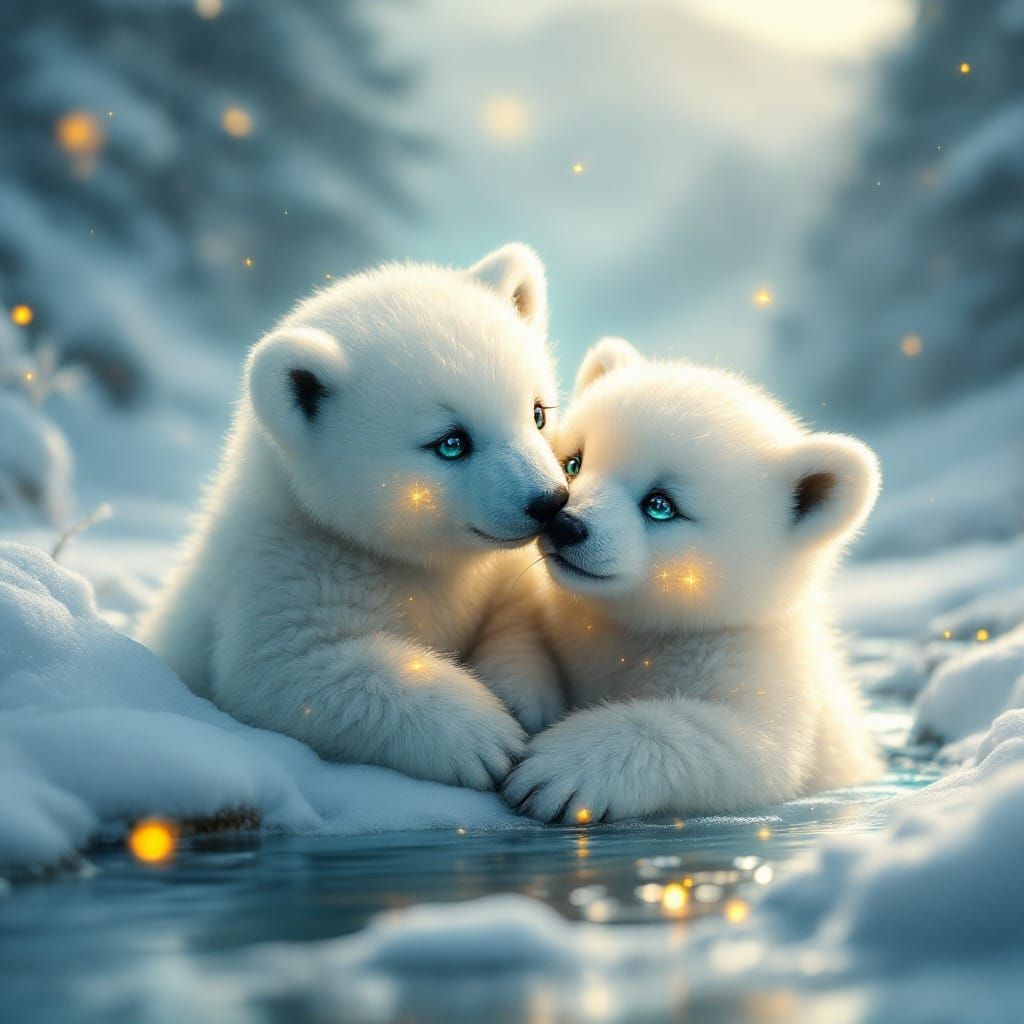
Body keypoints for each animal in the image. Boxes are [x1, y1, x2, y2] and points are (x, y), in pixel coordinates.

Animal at [137, 245, 570, 789]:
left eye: (537, 412)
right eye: (451, 442)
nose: (549, 501)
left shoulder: (491, 571)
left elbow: (519, 610)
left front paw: (522, 696)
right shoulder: (287, 569)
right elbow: (285, 670)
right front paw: (486, 739)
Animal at [502, 337, 882, 822]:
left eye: (661, 504)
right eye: (574, 462)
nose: (566, 525)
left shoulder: (756, 661)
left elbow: (748, 747)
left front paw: (561, 769)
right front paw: (521, 691)